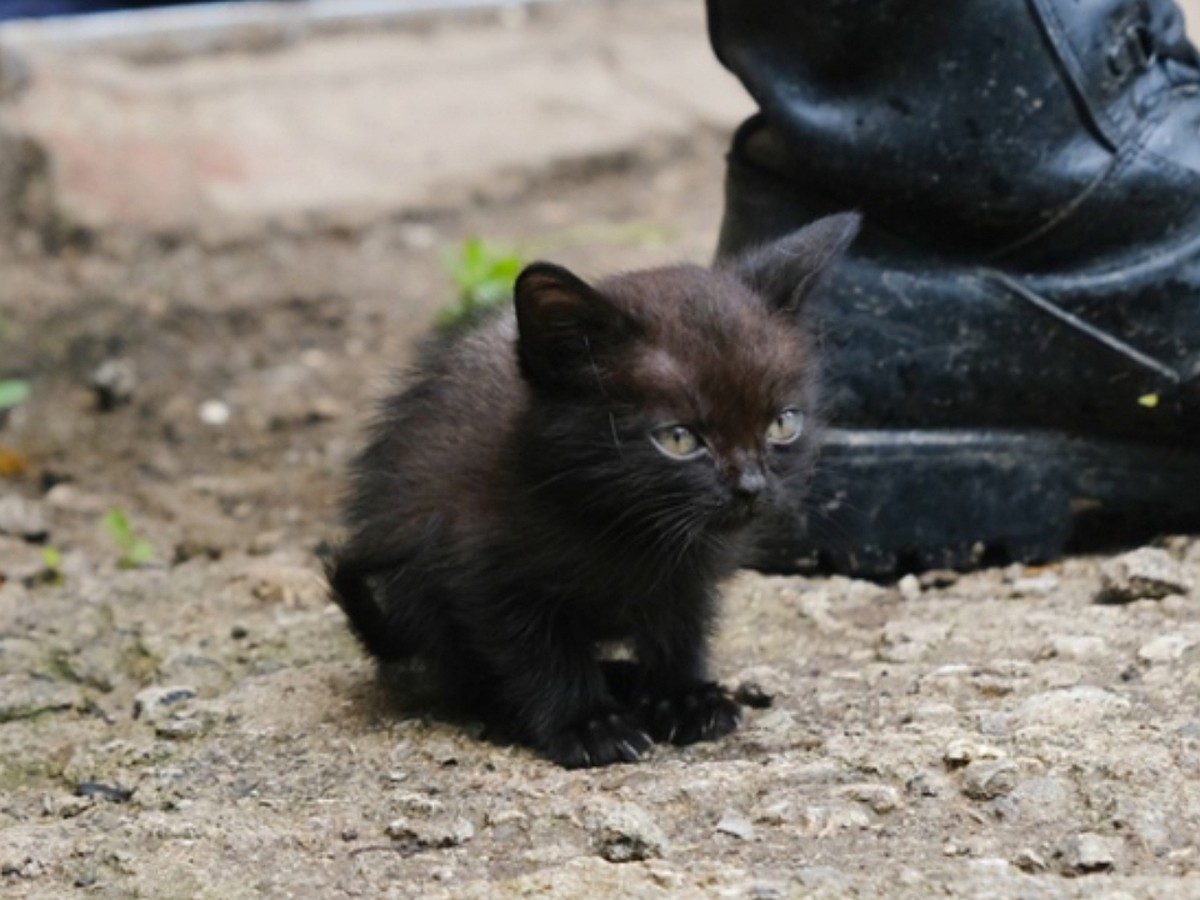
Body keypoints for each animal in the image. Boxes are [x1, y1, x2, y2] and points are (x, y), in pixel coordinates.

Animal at [324, 211, 859, 768]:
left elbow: (681, 626)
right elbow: (536, 651)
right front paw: (587, 723)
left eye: (783, 424)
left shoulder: (689, 572)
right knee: (457, 667)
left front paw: (682, 696)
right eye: (679, 438)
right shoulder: (481, 570)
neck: (621, 525)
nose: (751, 485)